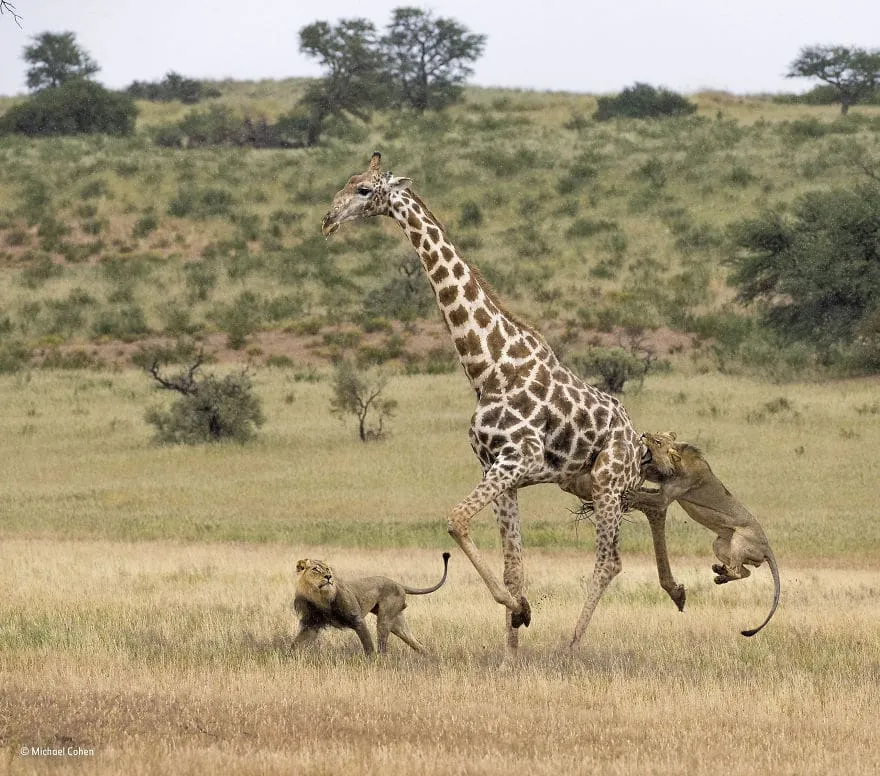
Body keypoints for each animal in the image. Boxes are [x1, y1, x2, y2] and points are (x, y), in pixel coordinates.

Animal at [292, 552, 450, 656]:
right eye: (315, 569)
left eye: (327, 569)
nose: (329, 577)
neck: (320, 597)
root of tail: (398, 583)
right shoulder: (311, 625)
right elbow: (296, 643)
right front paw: (289, 656)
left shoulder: (357, 620)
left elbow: (367, 643)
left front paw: (370, 660)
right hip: (397, 624)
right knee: (417, 643)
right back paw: (430, 658)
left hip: (385, 618)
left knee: (382, 645)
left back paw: (381, 660)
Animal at [320, 155, 644, 652]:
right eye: (347, 182)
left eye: (363, 190)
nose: (328, 220)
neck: (486, 367)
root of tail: (638, 441)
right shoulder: (499, 468)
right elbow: (513, 566)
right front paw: (512, 646)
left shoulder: (517, 459)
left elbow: (455, 519)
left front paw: (519, 611)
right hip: (580, 483)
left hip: (609, 481)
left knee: (609, 560)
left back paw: (571, 645)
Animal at [628, 430, 780, 636]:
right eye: (657, 434)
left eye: (658, 441)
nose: (643, 434)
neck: (678, 464)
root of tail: (767, 547)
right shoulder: (661, 480)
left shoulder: (665, 497)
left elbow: (646, 496)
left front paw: (631, 494)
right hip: (720, 544)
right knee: (745, 572)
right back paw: (720, 574)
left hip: (740, 540)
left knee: (738, 571)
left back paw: (723, 573)